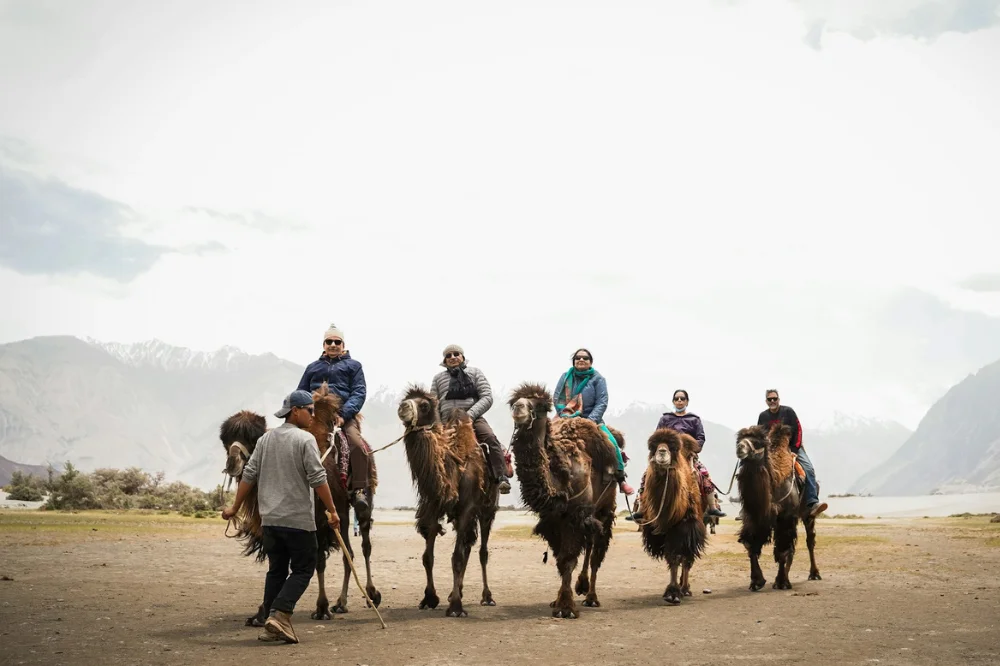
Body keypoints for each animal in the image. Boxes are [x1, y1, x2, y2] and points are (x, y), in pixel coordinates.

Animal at [394, 384, 496, 616]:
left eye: (424, 404)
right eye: (406, 399)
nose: (403, 408)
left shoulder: (467, 508)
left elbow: (456, 557)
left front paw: (456, 608)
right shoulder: (433, 506)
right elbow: (427, 557)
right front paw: (429, 598)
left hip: (488, 509)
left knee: (481, 551)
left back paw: (486, 597)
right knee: (467, 545)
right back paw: (455, 592)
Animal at [512, 382, 620, 620]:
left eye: (541, 406)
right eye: (513, 401)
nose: (518, 407)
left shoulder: (575, 515)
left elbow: (569, 559)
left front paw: (566, 608)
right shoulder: (553, 519)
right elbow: (561, 560)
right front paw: (559, 601)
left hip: (605, 508)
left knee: (597, 550)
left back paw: (591, 597)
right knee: (589, 543)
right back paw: (582, 586)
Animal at [636, 428, 708, 604]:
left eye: (673, 448)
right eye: (652, 447)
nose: (662, 452)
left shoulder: (688, 527)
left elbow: (682, 557)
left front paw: (677, 591)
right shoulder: (662, 531)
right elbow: (672, 557)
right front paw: (672, 592)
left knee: (687, 558)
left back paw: (686, 588)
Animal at [736, 422, 820, 588]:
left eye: (757, 442)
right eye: (739, 439)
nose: (740, 447)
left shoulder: (785, 517)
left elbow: (782, 550)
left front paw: (782, 582)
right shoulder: (755, 518)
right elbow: (750, 544)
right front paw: (757, 581)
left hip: (806, 513)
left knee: (809, 540)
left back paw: (813, 574)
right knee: (793, 547)